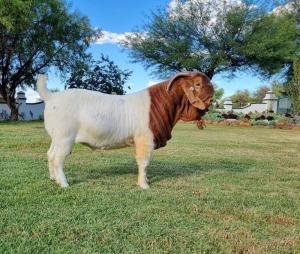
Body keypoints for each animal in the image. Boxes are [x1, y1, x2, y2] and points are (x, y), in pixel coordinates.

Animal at [37, 71, 214, 189]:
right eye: (198, 84)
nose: (213, 98)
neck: (159, 103)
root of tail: (51, 97)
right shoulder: (145, 139)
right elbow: (144, 162)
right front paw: (144, 185)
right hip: (65, 138)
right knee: (57, 159)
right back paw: (64, 183)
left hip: (56, 138)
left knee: (50, 155)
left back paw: (53, 179)